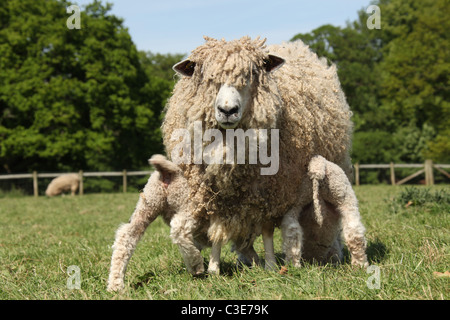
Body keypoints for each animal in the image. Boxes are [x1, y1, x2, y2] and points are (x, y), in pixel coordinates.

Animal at [163, 37, 368, 272]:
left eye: (252, 73)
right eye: (206, 75)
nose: (227, 110)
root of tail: (295, 45)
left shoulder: (271, 190)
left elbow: (267, 228)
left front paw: (270, 266)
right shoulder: (213, 193)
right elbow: (217, 227)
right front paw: (214, 267)